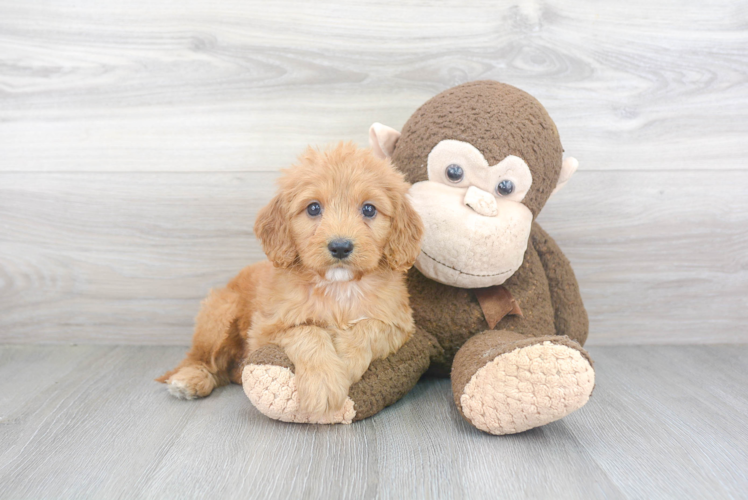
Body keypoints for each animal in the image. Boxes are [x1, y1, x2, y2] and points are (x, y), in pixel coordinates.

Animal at [159, 142, 424, 418]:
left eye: (369, 209)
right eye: (314, 208)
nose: (340, 247)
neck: (337, 288)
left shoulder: (400, 325)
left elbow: (369, 327)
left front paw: (346, 361)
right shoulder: (265, 330)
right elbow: (307, 331)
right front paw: (324, 382)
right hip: (220, 314)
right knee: (201, 359)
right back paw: (190, 379)